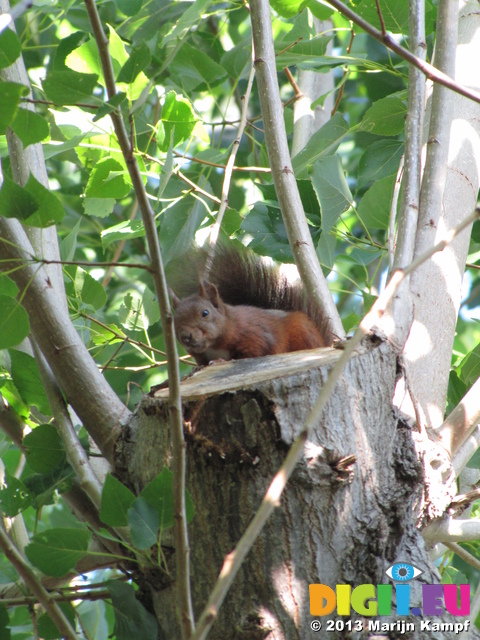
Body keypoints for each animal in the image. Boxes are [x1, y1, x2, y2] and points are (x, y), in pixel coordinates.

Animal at [170, 244, 334, 364]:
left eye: (205, 313)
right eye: (173, 321)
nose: (186, 336)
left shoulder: (256, 336)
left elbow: (253, 354)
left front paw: (220, 361)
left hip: (302, 330)